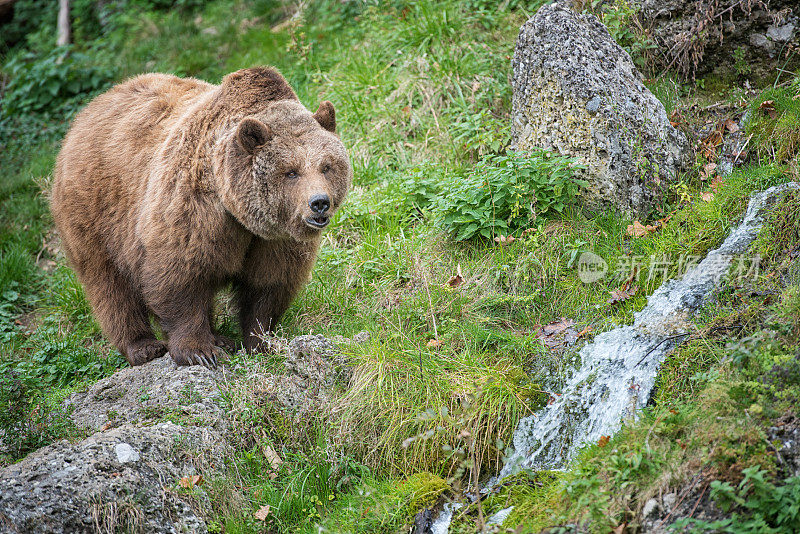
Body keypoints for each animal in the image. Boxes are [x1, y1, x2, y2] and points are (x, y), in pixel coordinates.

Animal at [50, 66, 350, 368]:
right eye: (290, 172)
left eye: (326, 166)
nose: (319, 203)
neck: (236, 210)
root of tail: (89, 109)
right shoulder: (192, 211)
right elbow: (180, 278)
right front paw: (199, 351)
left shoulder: (275, 239)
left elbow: (268, 285)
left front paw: (262, 341)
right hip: (96, 214)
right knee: (110, 286)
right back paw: (144, 346)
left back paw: (220, 338)